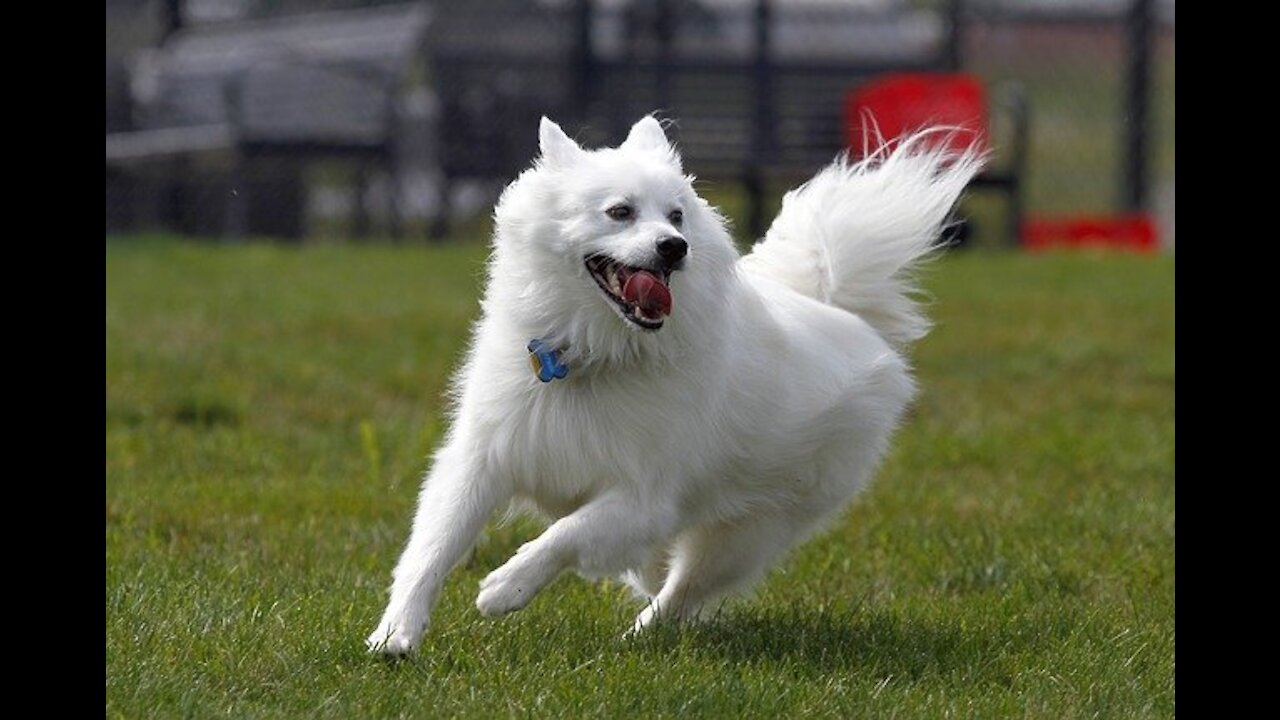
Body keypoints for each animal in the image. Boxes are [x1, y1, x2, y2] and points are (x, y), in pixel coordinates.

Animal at [368, 110, 977, 650]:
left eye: (677, 216)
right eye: (620, 212)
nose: (674, 247)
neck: (591, 353)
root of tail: (833, 308)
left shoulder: (642, 497)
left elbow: (564, 536)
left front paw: (504, 588)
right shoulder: (481, 460)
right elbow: (431, 549)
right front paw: (395, 634)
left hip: (747, 531)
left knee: (680, 593)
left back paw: (636, 639)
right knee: (657, 575)